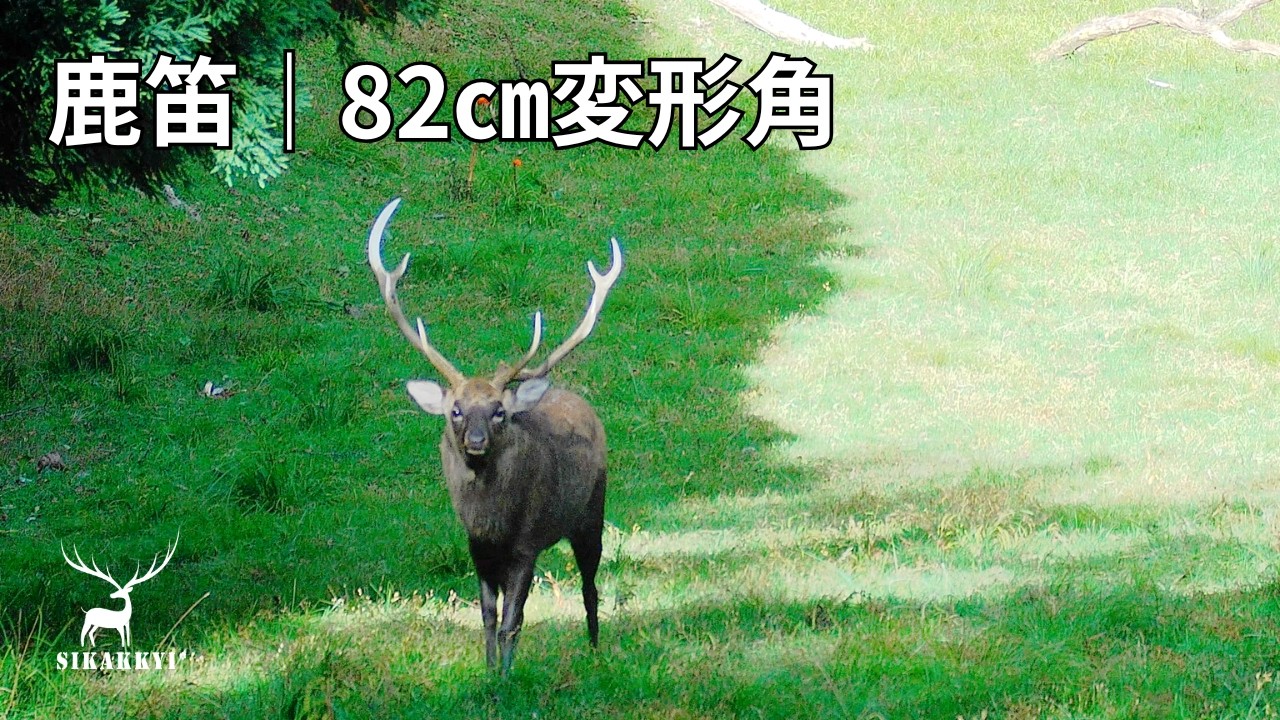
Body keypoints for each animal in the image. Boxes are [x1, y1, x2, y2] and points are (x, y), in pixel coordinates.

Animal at [366, 198, 621, 677]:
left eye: (500, 411)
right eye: (456, 410)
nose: (477, 440)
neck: (492, 521)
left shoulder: (526, 544)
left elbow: (512, 621)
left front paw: (505, 678)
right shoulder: (476, 547)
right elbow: (486, 616)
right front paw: (486, 674)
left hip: (591, 510)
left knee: (590, 586)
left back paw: (596, 652)